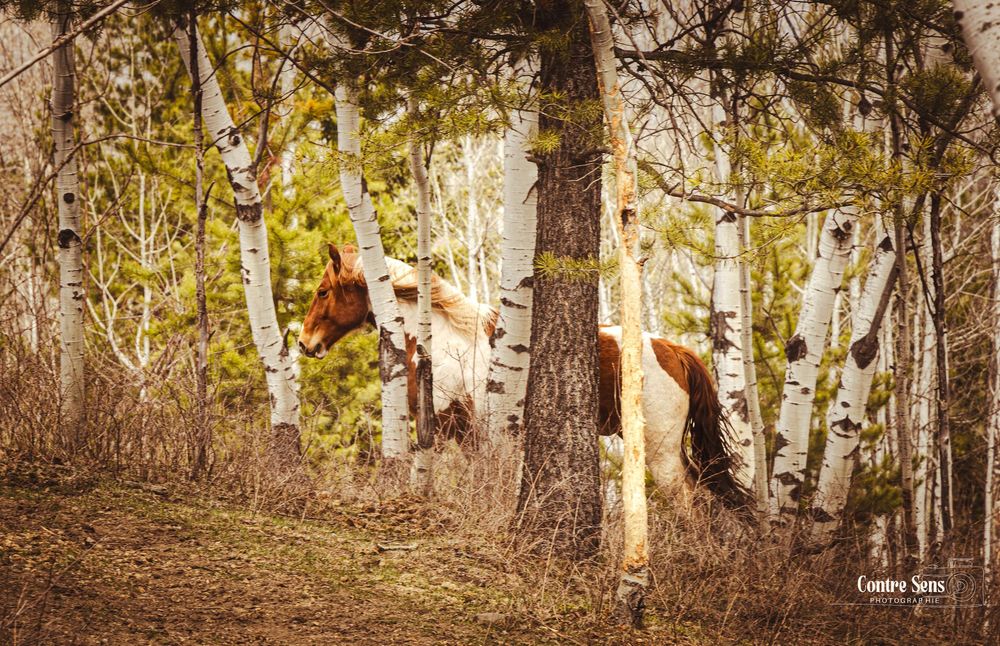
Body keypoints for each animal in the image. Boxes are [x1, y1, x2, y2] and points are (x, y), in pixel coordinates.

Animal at [298, 244, 749, 506]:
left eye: (322, 291)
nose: (305, 343)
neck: (449, 338)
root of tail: (675, 352)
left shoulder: (454, 429)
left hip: (660, 451)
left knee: (687, 502)